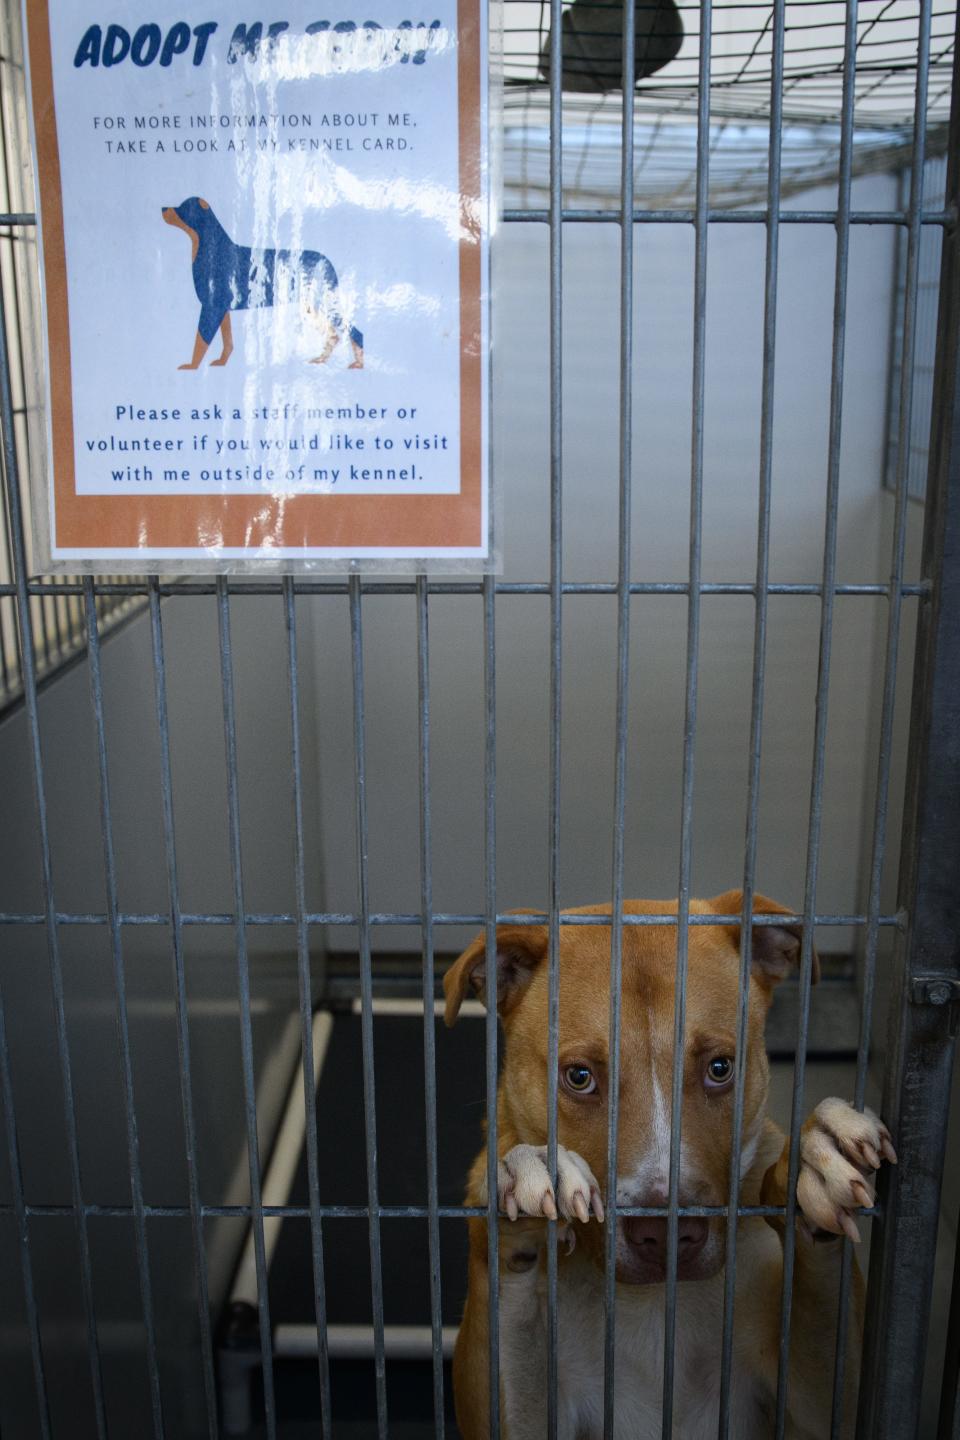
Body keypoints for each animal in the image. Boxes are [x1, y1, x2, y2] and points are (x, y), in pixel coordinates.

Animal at [446, 887, 898, 1440]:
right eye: (579, 1077)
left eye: (720, 1068)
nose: (663, 1234)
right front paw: (528, 1172)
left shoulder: (825, 1408)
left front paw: (813, 1159)